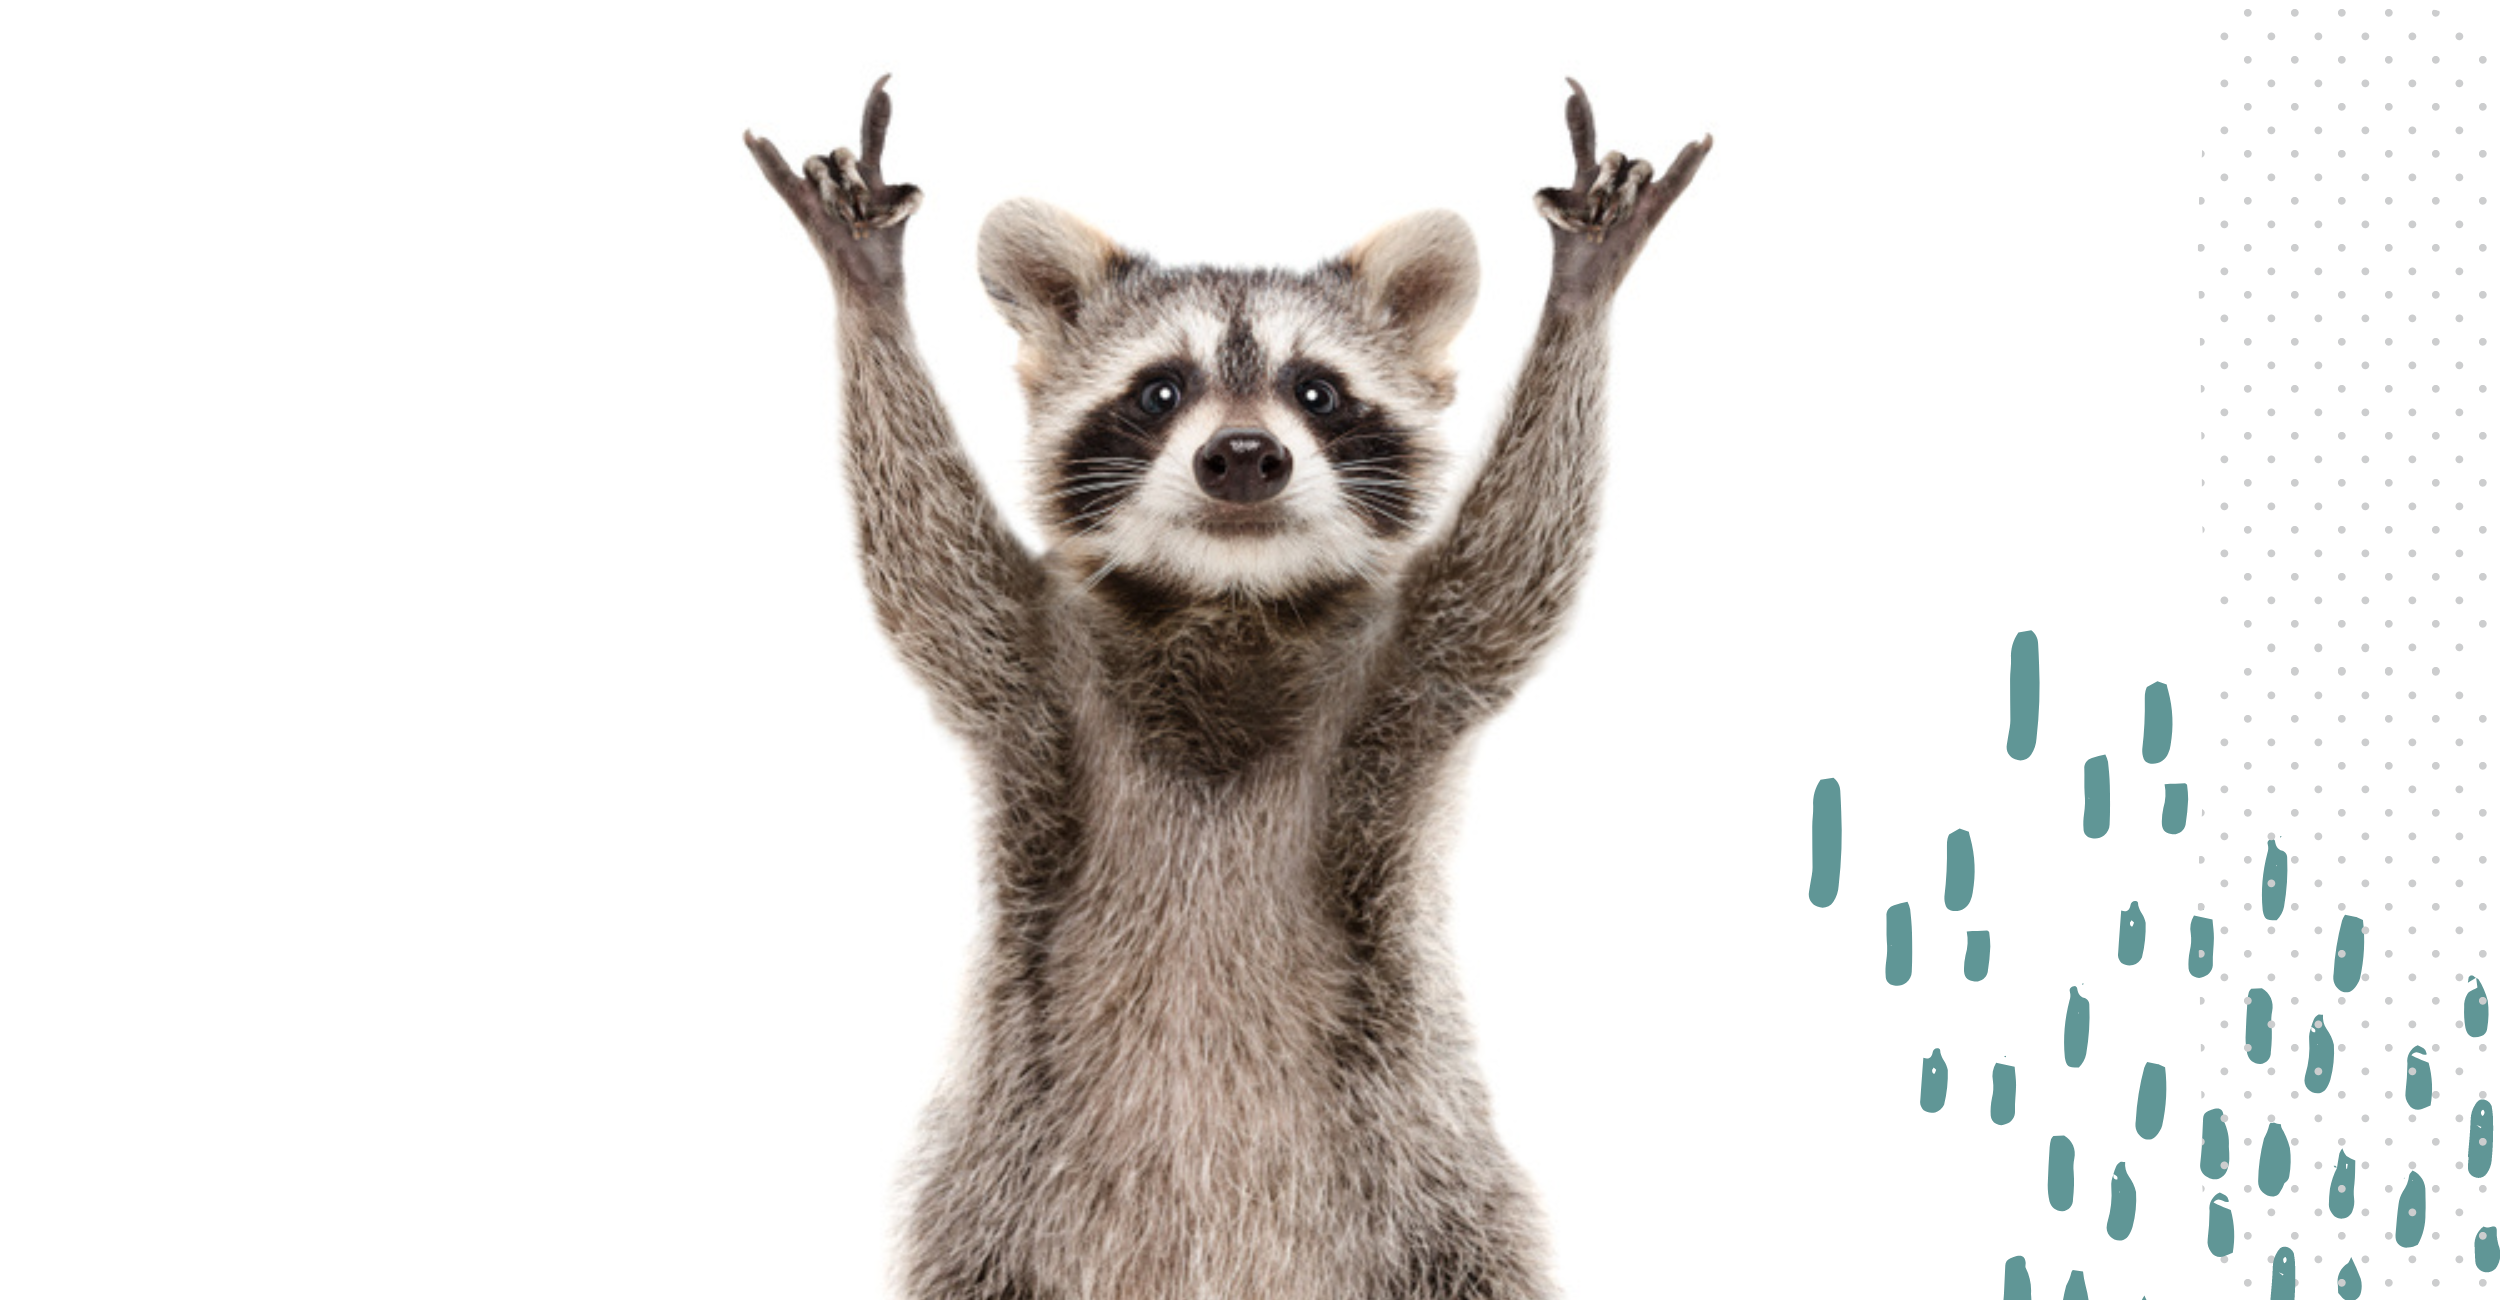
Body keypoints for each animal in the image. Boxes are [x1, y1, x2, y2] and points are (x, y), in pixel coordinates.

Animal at [745, 77, 1707, 1300]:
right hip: (992, 1218)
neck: (1228, 601)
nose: (1245, 455)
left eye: (1317, 391)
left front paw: (1580, 294)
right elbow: (925, 565)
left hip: (1438, 1207)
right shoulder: (1030, 671)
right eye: (1161, 389)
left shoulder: (1408, 673)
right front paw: (868, 292)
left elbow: (1514, 565)